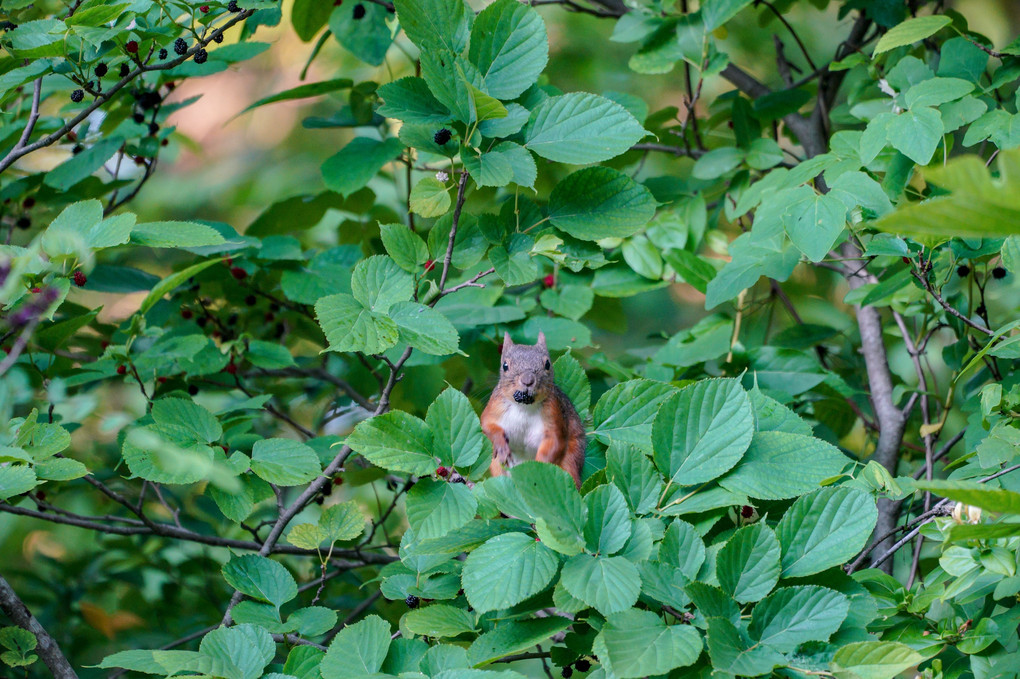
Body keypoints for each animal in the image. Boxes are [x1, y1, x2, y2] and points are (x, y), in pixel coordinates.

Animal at [477, 328, 583, 483]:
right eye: (505, 366)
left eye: (547, 364)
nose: (527, 380)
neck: (524, 406)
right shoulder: (495, 406)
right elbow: (486, 424)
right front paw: (501, 446)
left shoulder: (553, 413)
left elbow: (556, 442)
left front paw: (537, 467)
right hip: (496, 466)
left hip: (571, 462)